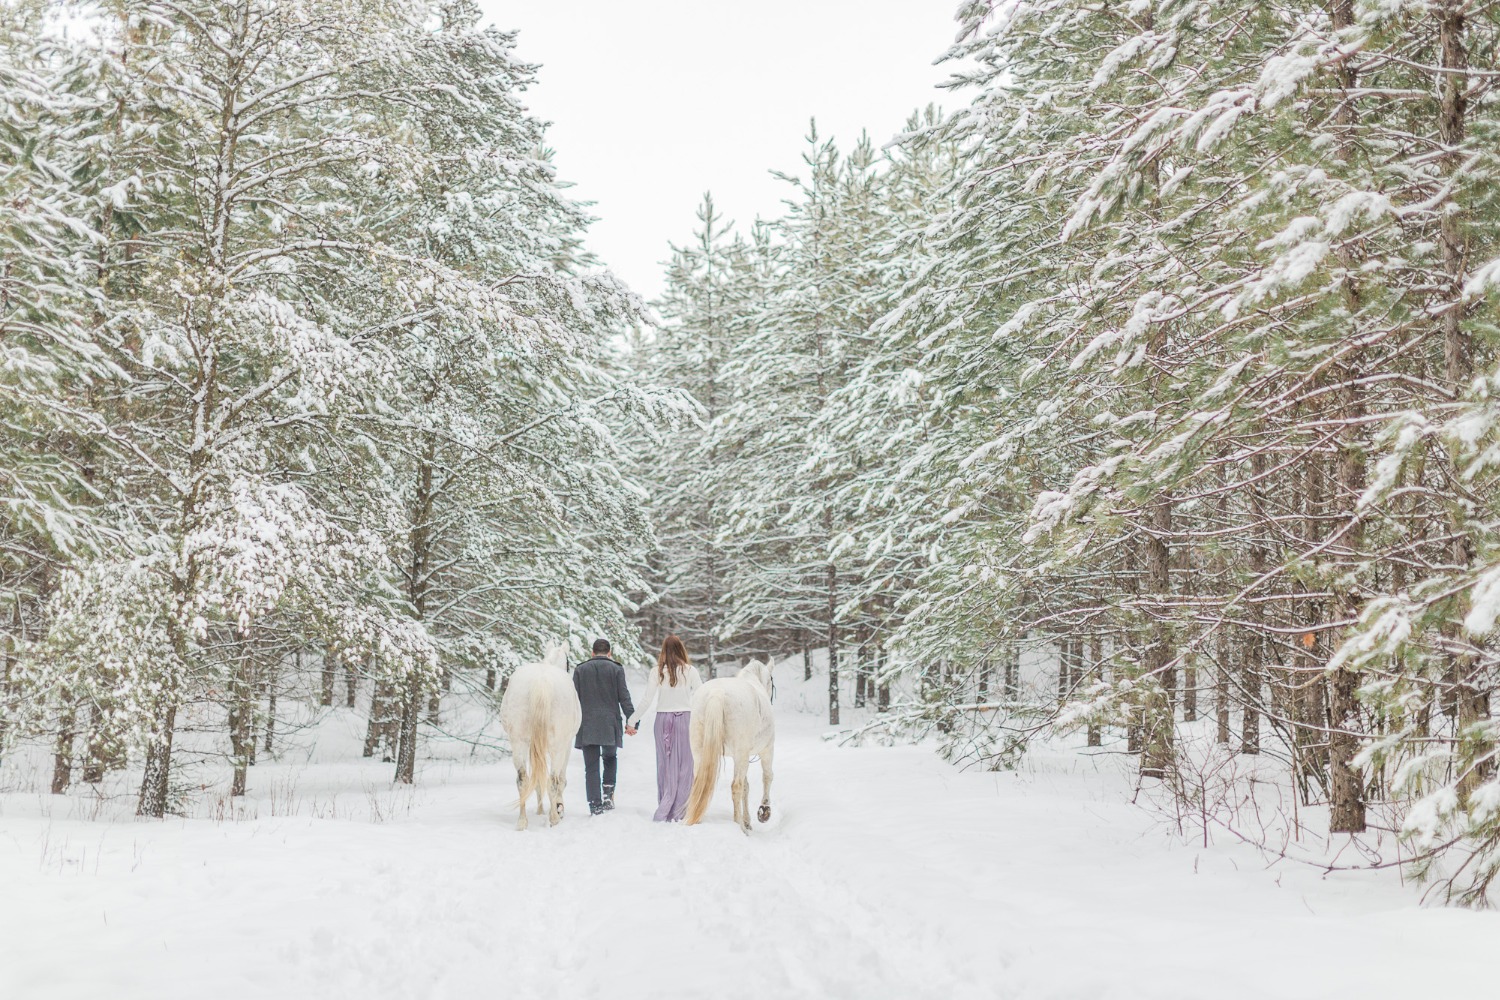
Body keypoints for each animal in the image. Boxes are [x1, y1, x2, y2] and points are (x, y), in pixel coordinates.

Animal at [498, 644, 579, 833]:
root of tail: (541, 682)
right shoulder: (567, 745)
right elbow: (561, 780)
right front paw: (558, 808)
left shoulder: (530, 745)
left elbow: (536, 782)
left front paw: (541, 810)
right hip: (557, 746)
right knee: (553, 780)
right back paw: (554, 819)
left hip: (518, 742)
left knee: (523, 779)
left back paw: (522, 822)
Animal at [681, 659, 774, 833]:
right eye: (771, 680)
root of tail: (717, 693)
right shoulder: (766, 750)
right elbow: (767, 777)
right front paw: (764, 811)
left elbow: (746, 787)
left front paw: (748, 821)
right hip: (742, 755)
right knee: (736, 786)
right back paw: (739, 826)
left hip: (700, 753)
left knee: (699, 784)